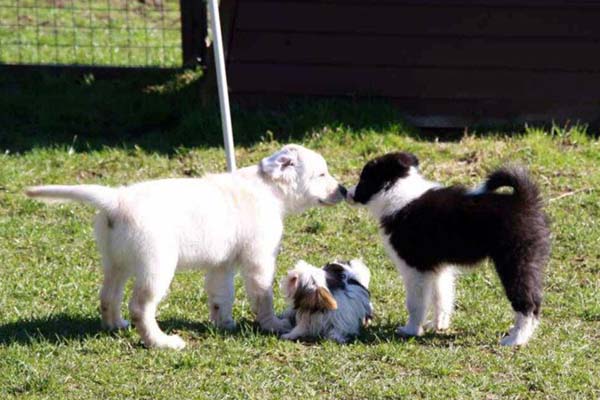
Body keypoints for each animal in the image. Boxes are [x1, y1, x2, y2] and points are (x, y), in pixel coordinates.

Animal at [25, 145, 346, 350]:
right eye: (321, 175)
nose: (344, 190)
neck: (268, 189)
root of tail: (116, 200)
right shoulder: (259, 259)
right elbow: (262, 296)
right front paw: (273, 324)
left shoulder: (222, 265)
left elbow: (221, 295)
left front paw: (223, 323)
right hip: (157, 267)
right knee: (140, 307)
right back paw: (162, 342)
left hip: (117, 262)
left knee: (108, 296)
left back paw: (115, 325)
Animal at [346, 152, 548, 346]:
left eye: (363, 178)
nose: (347, 193)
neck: (398, 191)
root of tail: (524, 200)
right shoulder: (437, 268)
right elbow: (441, 297)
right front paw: (438, 325)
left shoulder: (415, 268)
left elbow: (415, 303)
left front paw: (411, 330)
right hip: (530, 261)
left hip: (514, 262)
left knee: (527, 303)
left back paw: (516, 339)